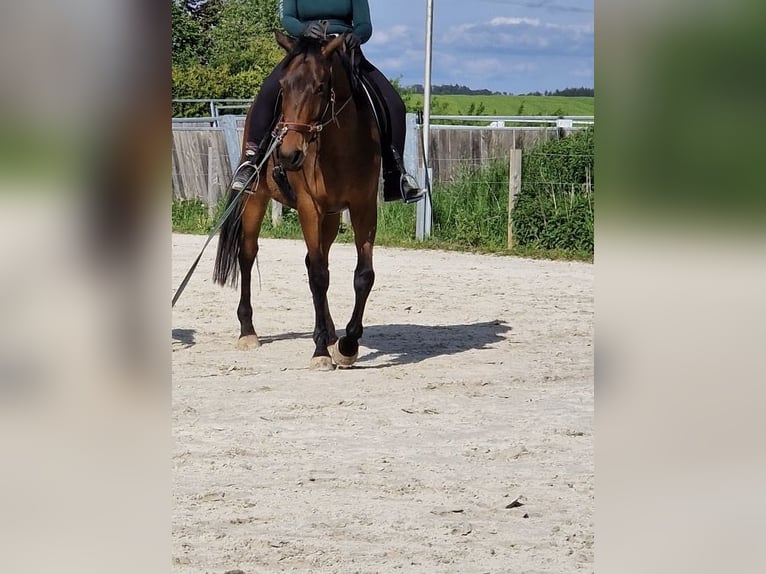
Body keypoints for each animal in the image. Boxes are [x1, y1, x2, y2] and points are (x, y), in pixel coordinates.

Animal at [213, 31, 381, 370]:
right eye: (283, 86)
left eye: (320, 87)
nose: (289, 154)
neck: (341, 148)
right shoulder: (309, 208)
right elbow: (318, 276)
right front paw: (320, 351)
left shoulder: (364, 208)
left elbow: (362, 275)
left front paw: (347, 344)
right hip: (256, 201)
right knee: (247, 255)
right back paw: (248, 331)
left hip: (331, 217)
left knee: (319, 260)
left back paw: (331, 331)